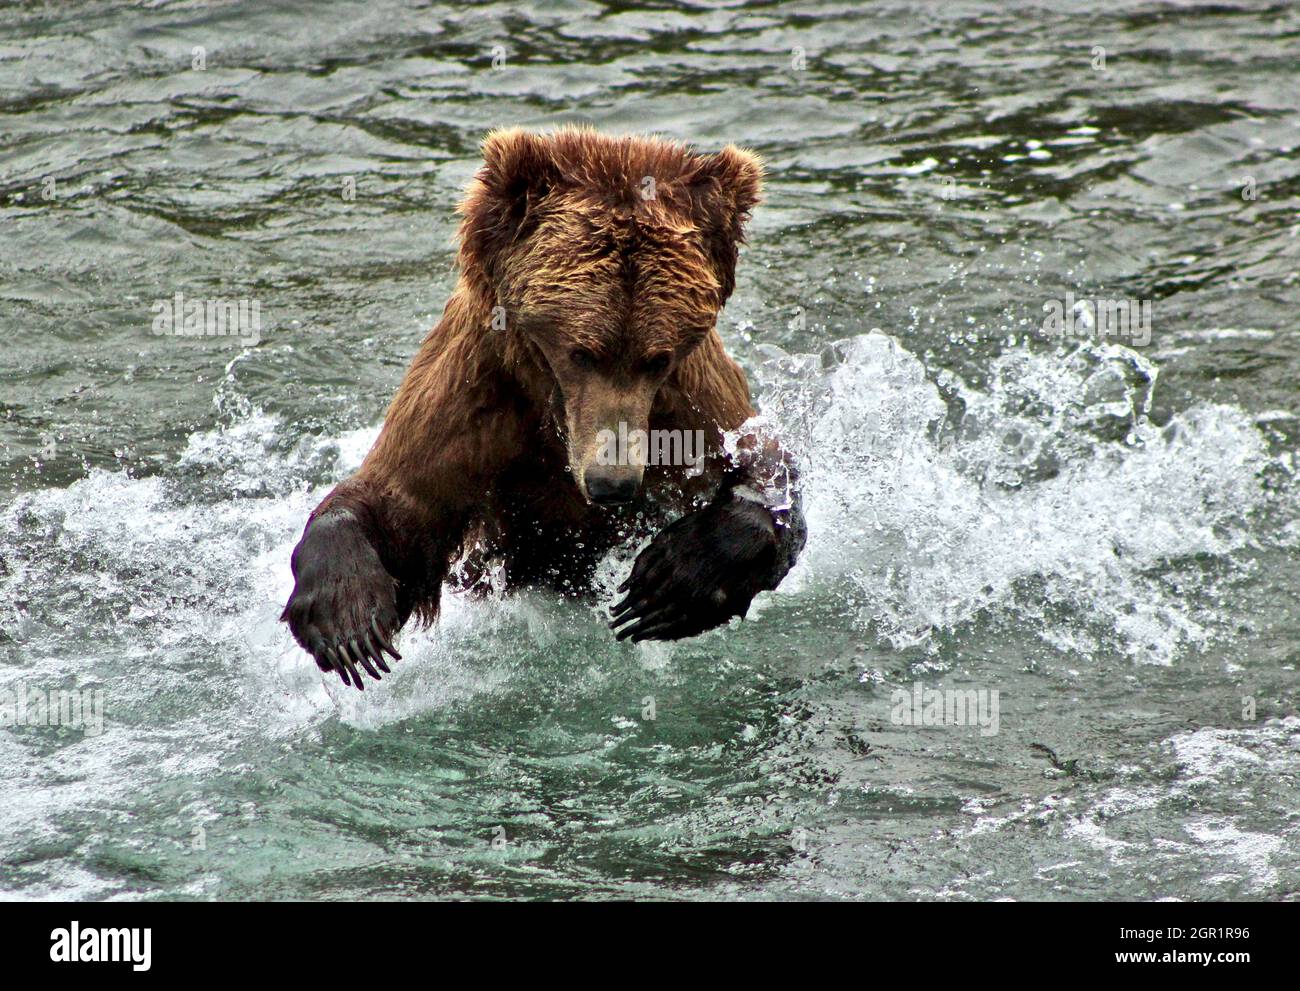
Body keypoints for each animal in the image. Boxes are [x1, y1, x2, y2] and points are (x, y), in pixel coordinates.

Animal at [284, 125, 806, 686]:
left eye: (657, 358)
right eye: (581, 351)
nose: (612, 484)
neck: (555, 411)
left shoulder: (686, 408)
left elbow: (764, 472)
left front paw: (671, 583)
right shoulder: (476, 399)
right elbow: (399, 506)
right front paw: (348, 621)